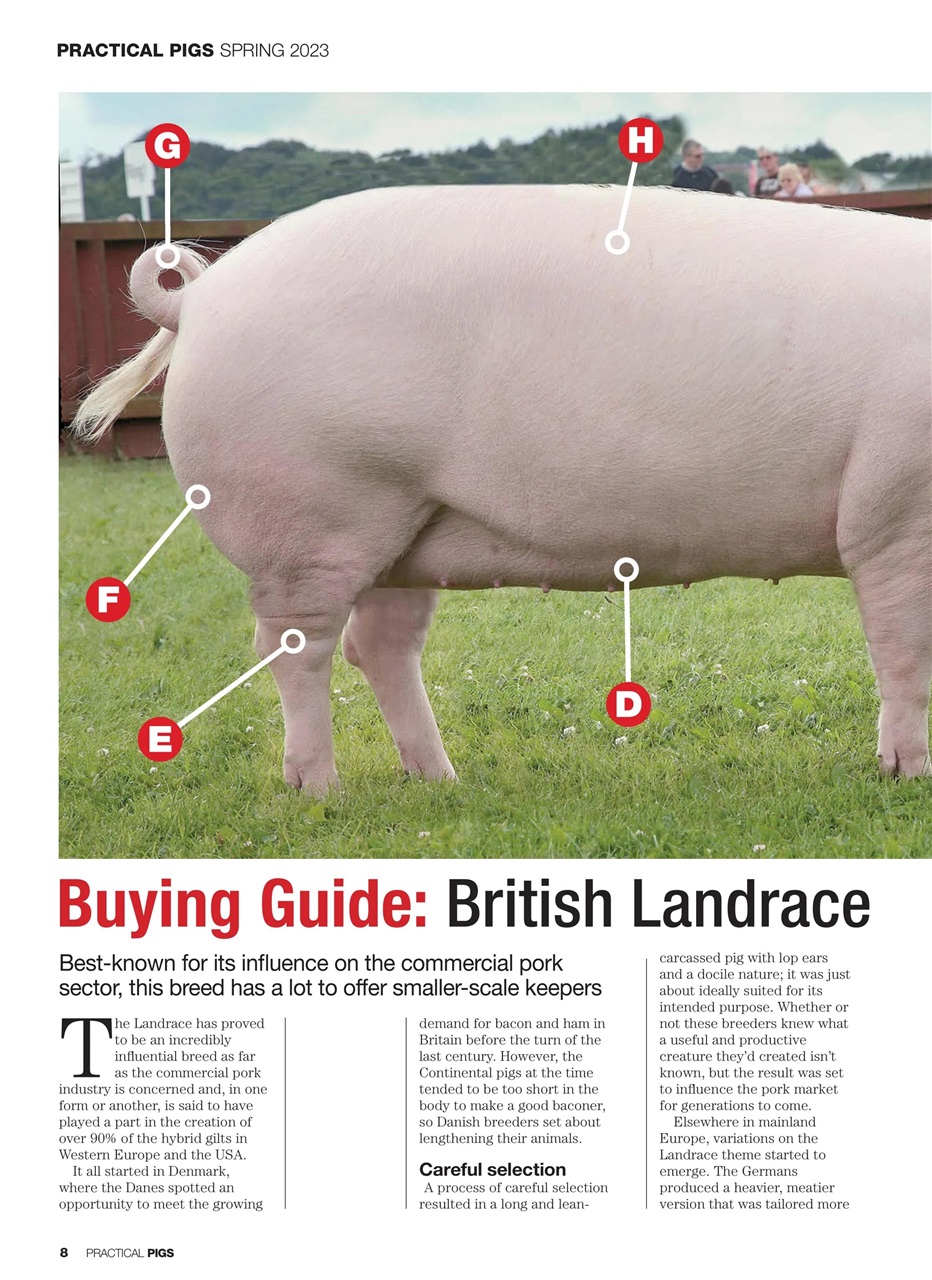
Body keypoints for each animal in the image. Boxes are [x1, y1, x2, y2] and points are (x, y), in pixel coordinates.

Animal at [72, 185, 932, 790]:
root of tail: (200, 296)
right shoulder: (895, 514)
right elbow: (904, 649)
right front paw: (907, 776)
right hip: (314, 516)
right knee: (294, 646)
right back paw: (321, 789)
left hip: (404, 526)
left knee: (376, 644)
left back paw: (439, 780)